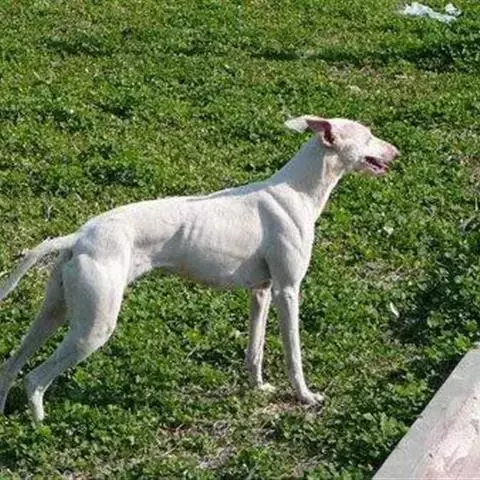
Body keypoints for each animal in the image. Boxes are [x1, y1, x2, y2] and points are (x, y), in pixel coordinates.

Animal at [0, 116, 399, 421]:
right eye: (368, 135)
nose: (396, 152)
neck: (297, 190)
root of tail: (79, 237)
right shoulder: (287, 290)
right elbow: (294, 354)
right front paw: (305, 396)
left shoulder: (261, 292)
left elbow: (254, 350)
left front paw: (258, 387)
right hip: (93, 328)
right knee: (33, 379)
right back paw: (40, 426)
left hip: (55, 313)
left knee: (10, 365)